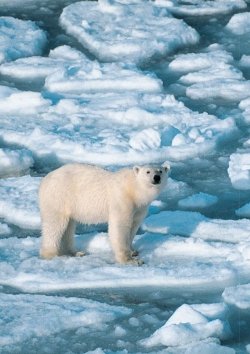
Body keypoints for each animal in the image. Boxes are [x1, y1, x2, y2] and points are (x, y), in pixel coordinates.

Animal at [38, 162, 170, 262]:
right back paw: (50, 254)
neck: (133, 190)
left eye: (160, 171)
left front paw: (133, 251)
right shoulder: (122, 200)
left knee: (68, 227)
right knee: (55, 225)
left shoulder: (139, 208)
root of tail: (45, 179)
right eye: (148, 171)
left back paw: (76, 252)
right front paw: (130, 260)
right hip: (58, 197)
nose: (156, 177)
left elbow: (134, 226)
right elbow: (120, 227)